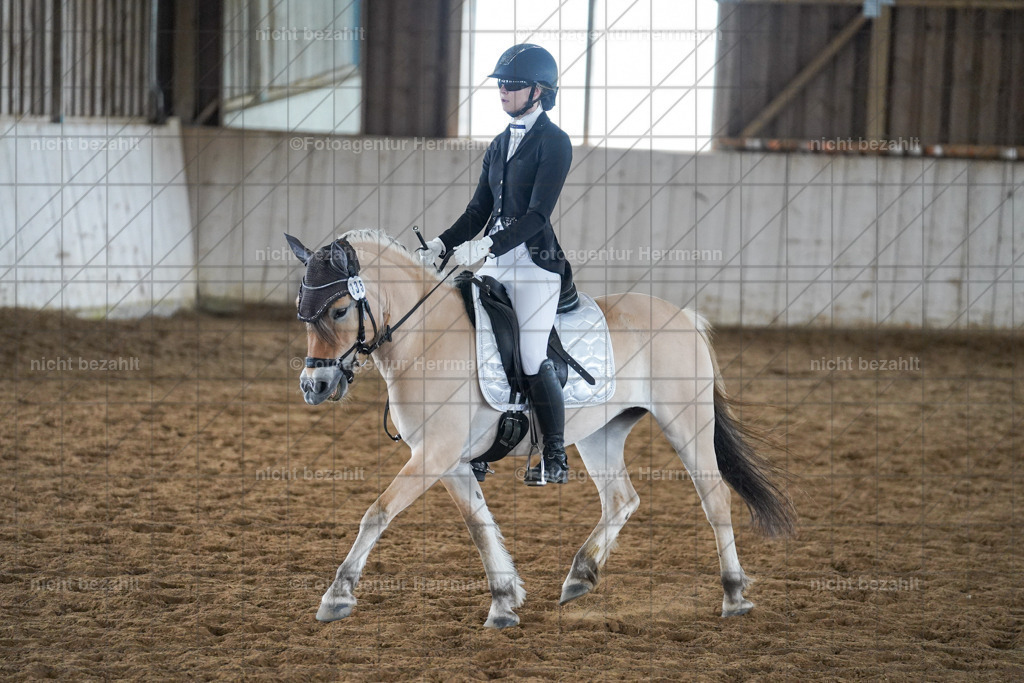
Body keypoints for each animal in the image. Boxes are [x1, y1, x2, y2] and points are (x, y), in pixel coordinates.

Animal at [288, 229, 795, 629]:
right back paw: (580, 577)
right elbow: (479, 525)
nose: (314, 386)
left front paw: (336, 597)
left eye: (338, 311)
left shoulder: (434, 454)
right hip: (600, 433)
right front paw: (504, 602)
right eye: (301, 311)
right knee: (622, 499)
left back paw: (734, 596)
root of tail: (683, 316)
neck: (426, 340)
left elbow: (377, 513)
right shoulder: (448, 460)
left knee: (715, 499)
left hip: (686, 422)